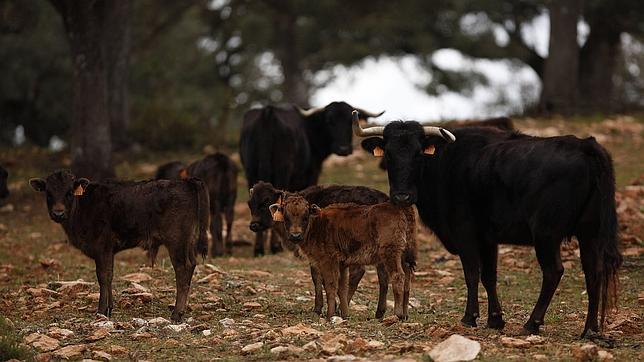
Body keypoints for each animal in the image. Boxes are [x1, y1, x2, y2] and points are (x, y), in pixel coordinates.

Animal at [240, 100, 382, 256]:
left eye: (349, 121)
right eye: (329, 121)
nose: (343, 149)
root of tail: (267, 114)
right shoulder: (311, 174)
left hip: (251, 172)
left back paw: (259, 248)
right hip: (282, 171)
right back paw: (275, 246)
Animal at [247, 182, 388, 316]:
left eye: (266, 202)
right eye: (250, 204)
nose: (253, 225)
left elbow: (319, 278)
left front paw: (319, 308)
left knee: (358, 273)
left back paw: (343, 309)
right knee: (383, 277)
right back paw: (379, 313)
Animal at [272, 195, 418, 320]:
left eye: (305, 217)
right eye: (286, 217)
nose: (295, 235)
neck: (318, 224)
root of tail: (400, 209)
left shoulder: (328, 261)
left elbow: (331, 285)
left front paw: (330, 315)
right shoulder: (342, 264)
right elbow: (342, 288)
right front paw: (344, 314)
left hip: (390, 254)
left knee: (397, 276)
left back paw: (397, 314)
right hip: (403, 258)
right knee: (407, 280)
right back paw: (404, 315)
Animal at [354, 111, 620, 338]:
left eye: (419, 153)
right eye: (388, 154)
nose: (402, 197)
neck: (444, 164)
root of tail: (586, 146)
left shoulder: (465, 233)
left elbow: (472, 273)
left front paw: (469, 317)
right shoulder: (489, 238)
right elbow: (489, 276)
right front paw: (495, 319)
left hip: (547, 233)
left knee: (554, 271)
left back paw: (531, 324)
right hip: (590, 233)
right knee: (593, 273)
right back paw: (590, 329)